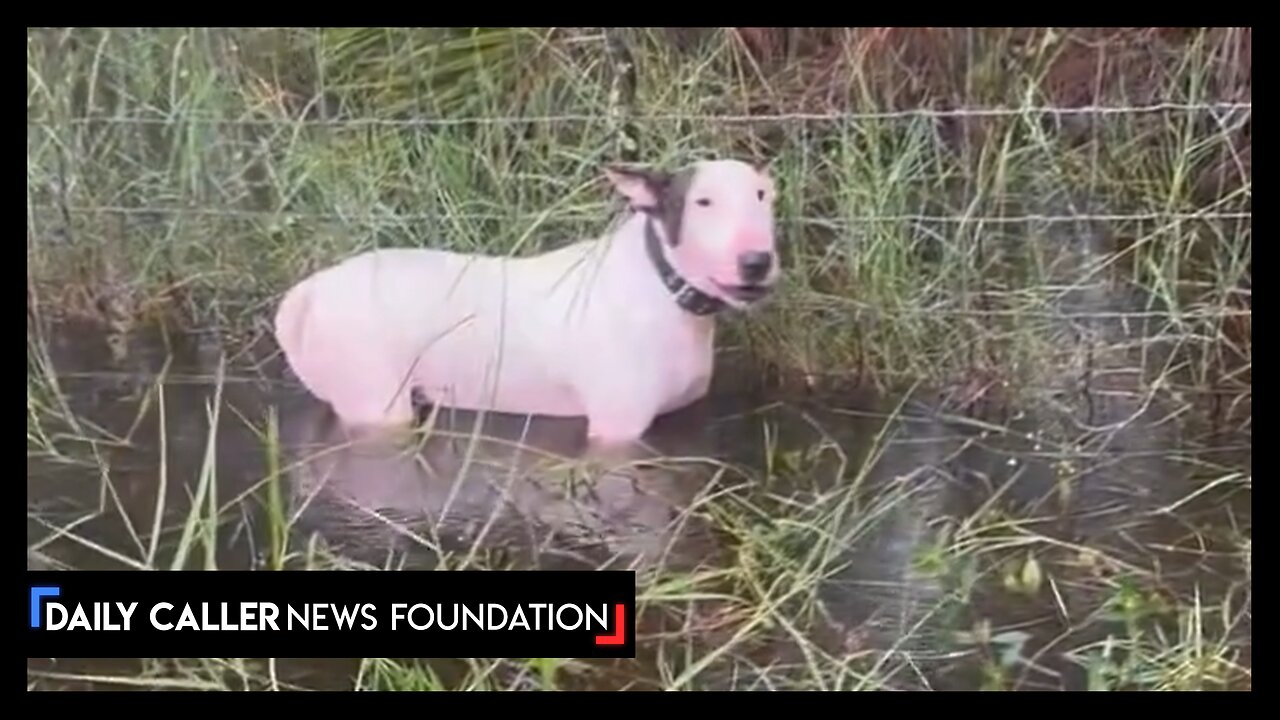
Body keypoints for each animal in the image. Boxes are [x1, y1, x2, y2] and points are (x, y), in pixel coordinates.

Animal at [271, 158, 778, 445]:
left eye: (762, 196)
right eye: (702, 202)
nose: (757, 261)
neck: (662, 286)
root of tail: (310, 290)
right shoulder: (616, 430)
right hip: (376, 401)